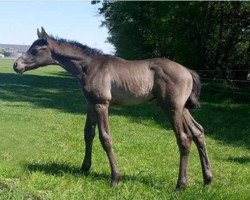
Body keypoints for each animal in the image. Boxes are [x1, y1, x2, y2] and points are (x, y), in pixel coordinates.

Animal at [13, 27, 212, 189]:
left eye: (35, 50)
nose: (16, 65)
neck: (89, 66)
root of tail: (188, 71)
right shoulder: (91, 104)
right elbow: (88, 134)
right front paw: (84, 168)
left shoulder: (102, 104)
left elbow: (105, 138)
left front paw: (115, 178)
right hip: (183, 108)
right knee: (198, 132)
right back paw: (207, 181)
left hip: (172, 108)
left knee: (184, 138)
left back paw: (180, 185)